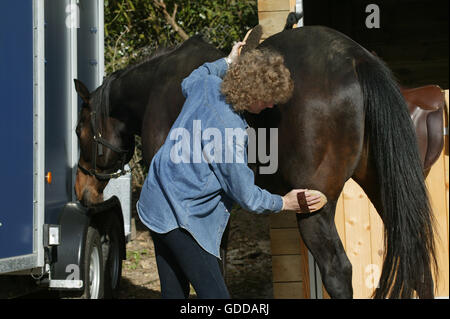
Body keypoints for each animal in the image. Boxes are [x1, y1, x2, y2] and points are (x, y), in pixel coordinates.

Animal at [74, 25, 436, 300]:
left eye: (79, 131)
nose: (82, 191)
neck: (156, 88)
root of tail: (355, 58)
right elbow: (214, 260)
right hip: (384, 189)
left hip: (316, 212)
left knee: (338, 271)